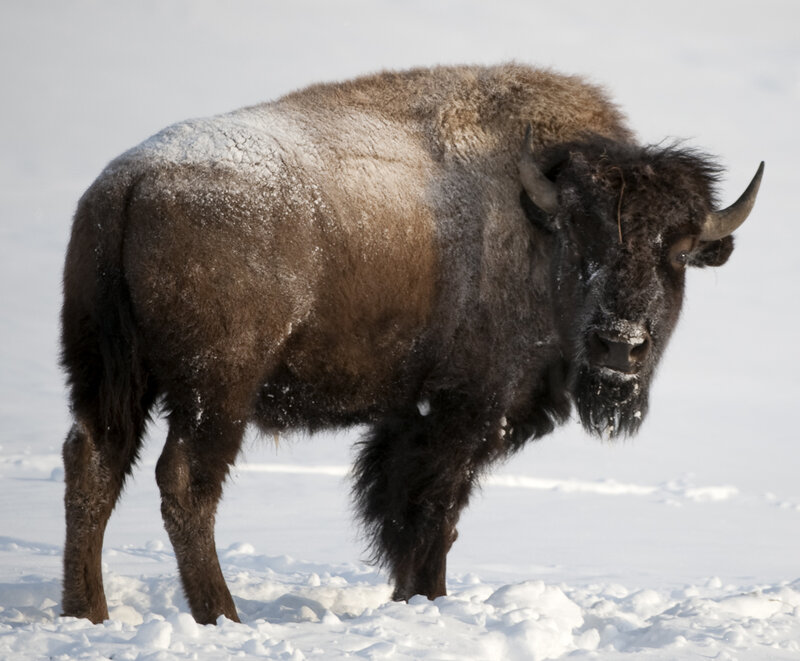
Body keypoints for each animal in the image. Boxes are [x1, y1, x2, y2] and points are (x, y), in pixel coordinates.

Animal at [60, 63, 763, 624]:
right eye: (582, 232)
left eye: (677, 253)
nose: (621, 345)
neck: (535, 224)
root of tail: (128, 185)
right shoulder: (465, 413)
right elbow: (432, 516)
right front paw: (425, 601)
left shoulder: (408, 417)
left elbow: (407, 513)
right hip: (216, 390)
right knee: (185, 483)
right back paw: (222, 616)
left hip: (111, 376)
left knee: (93, 463)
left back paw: (87, 611)